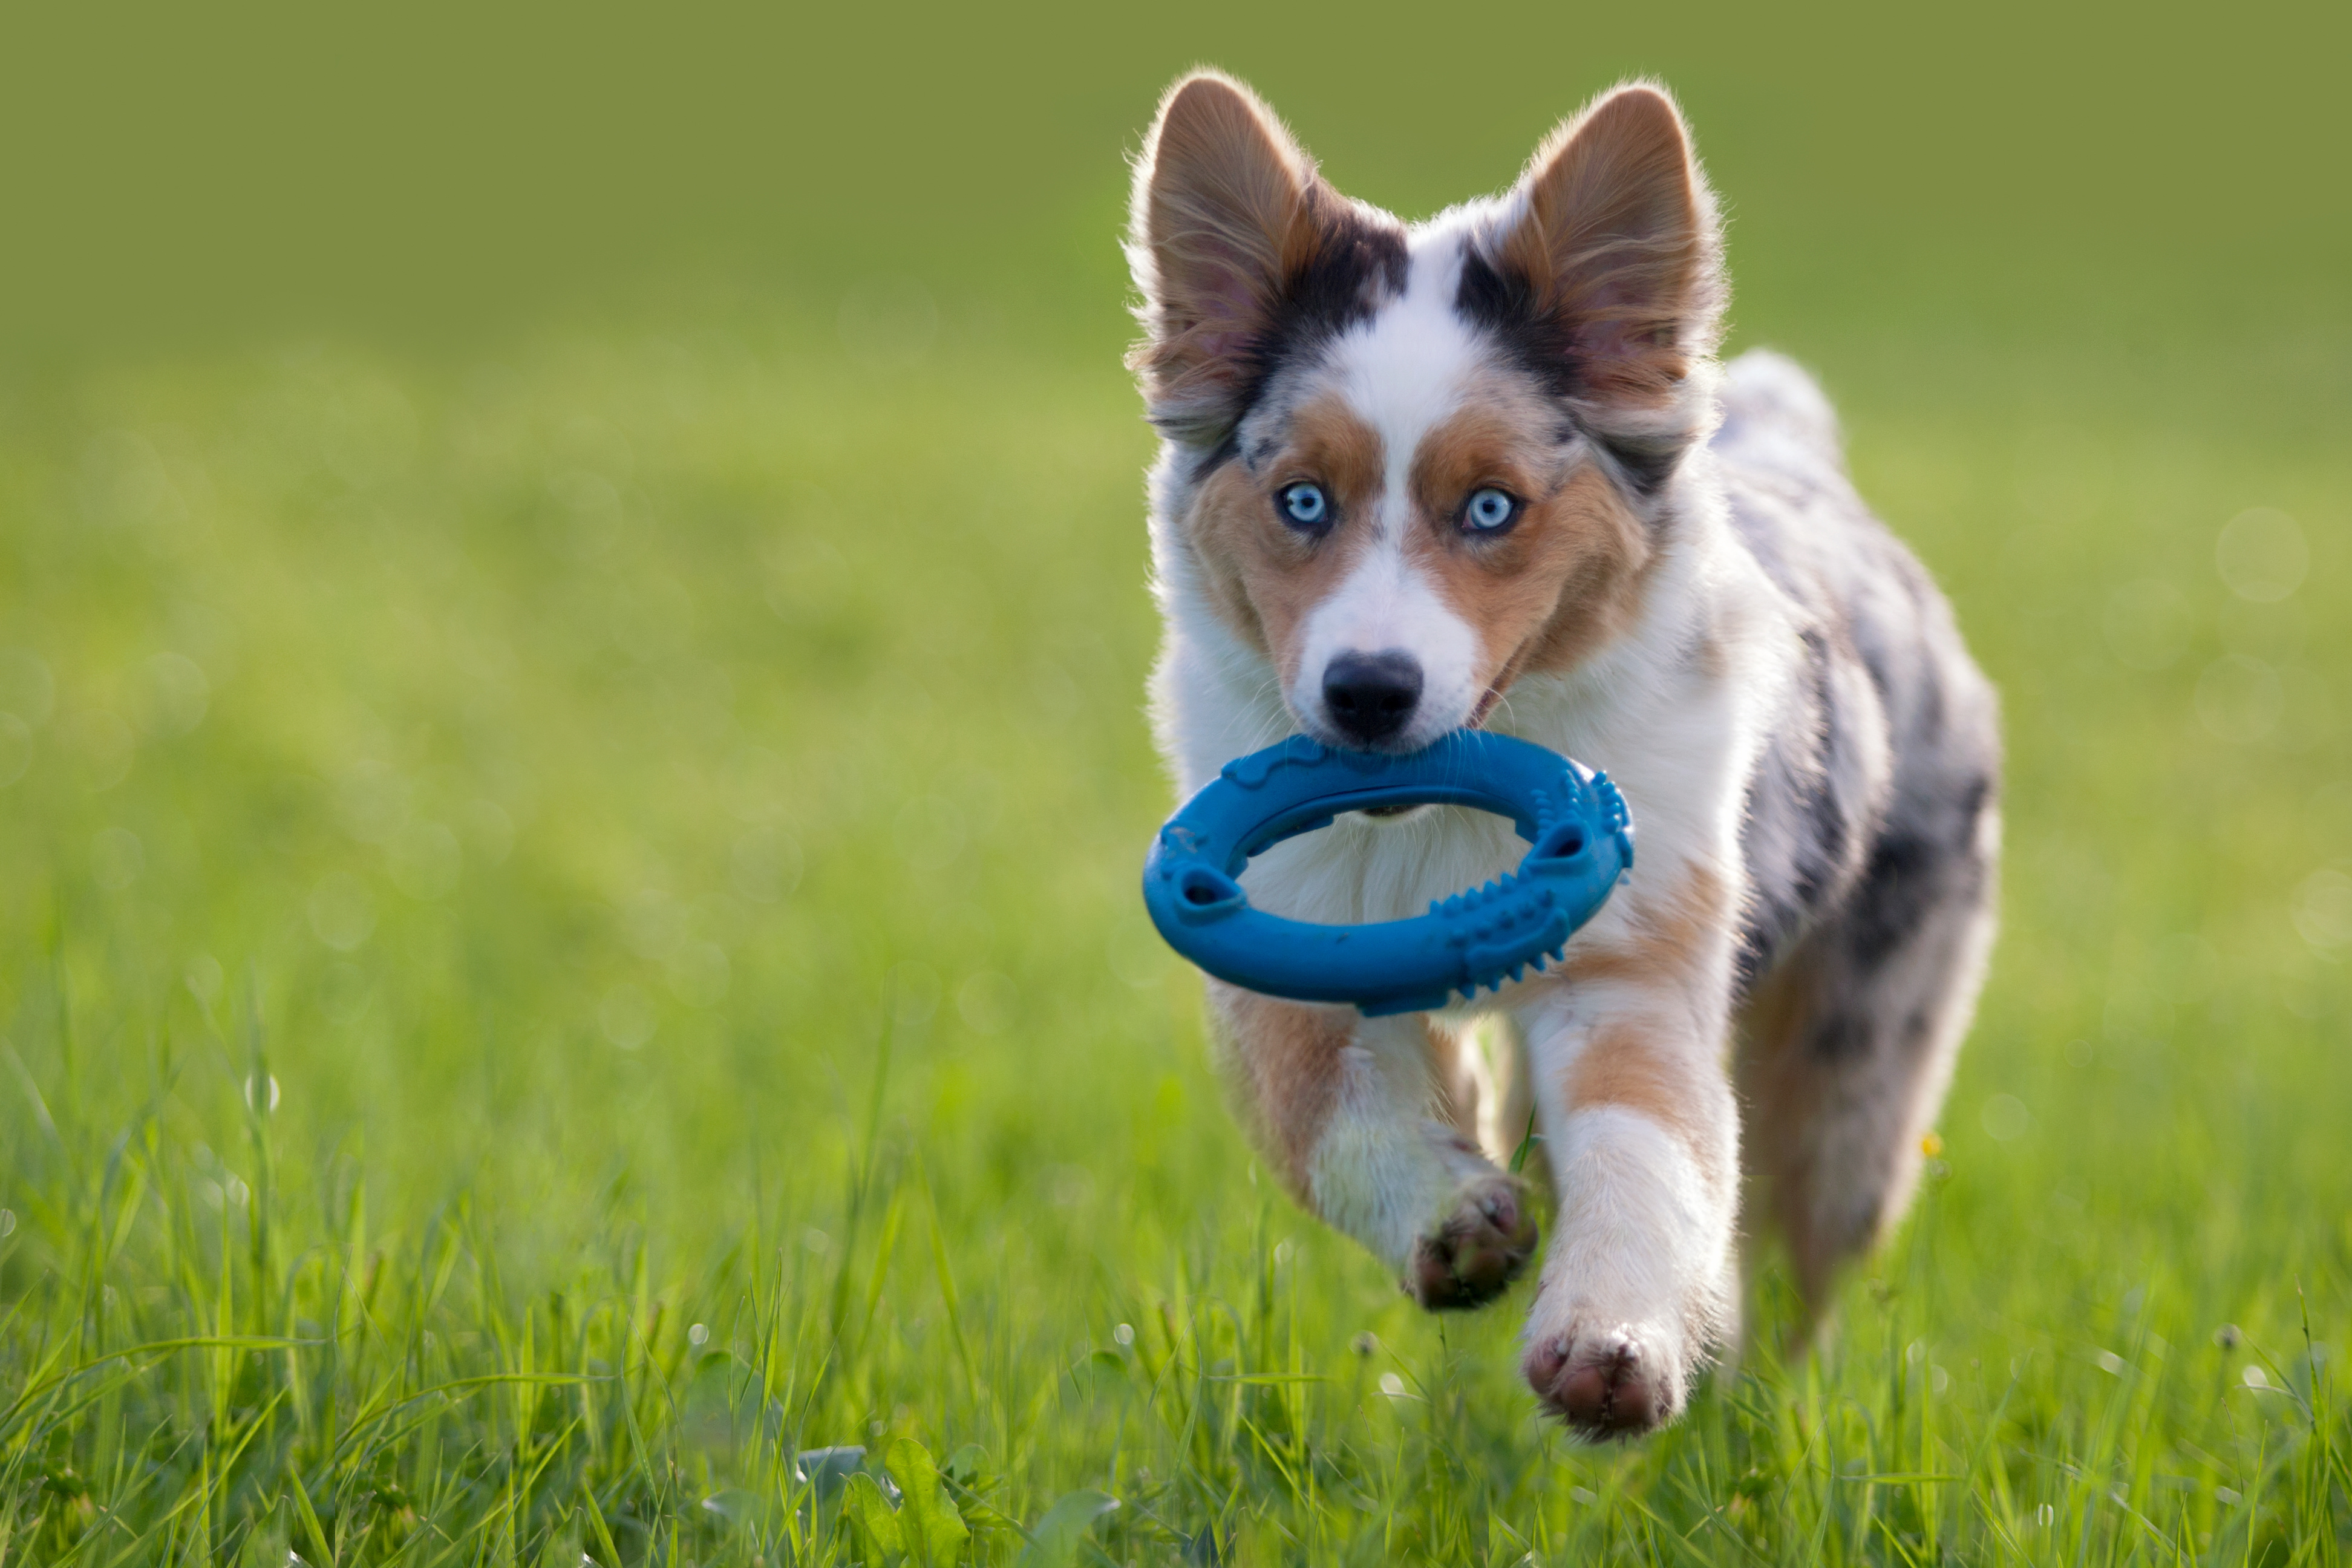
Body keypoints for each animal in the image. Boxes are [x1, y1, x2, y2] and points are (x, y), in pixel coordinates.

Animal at [1119, 76, 2004, 1448]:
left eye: (1492, 508)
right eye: (1301, 501)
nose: (1368, 695)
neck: (1428, 831)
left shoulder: (1633, 959)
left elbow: (1650, 1154)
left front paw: (1612, 1347)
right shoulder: (1274, 940)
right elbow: (1326, 1109)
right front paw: (1455, 1224)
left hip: (1856, 1074)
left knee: (1792, 1254)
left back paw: (1740, 1418)